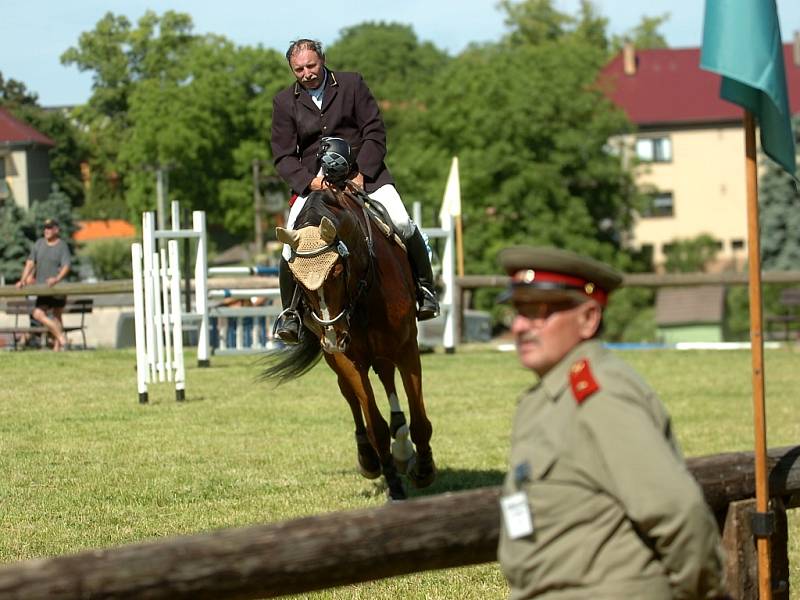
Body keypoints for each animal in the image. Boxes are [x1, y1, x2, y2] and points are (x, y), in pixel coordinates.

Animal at [266, 189, 434, 502]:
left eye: (336, 271)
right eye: (294, 279)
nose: (334, 336)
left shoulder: (406, 347)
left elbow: (419, 418)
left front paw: (424, 469)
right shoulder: (348, 359)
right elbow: (375, 426)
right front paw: (394, 487)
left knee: (387, 378)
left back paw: (403, 446)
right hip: (338, 358)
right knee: (350, 394)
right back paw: (370, 457)